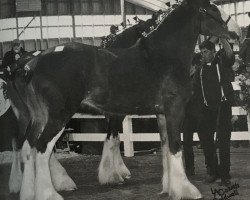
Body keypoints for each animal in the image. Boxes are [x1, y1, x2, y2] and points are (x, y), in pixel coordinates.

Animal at [6, 0, 240, 199]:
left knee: (28, 147)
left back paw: (28, 191)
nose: (237, 32)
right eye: (212, 9)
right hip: (58, 117)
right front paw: (186, 190)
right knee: (41, 149)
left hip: (38, 118)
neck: (164, 57)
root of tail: (31, 65)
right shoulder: (174, 109)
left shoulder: (161, 114)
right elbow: (175, 147)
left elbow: (165, 148)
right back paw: (50, 193)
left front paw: (168, 188)